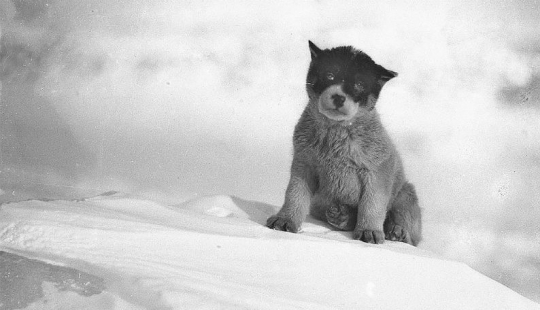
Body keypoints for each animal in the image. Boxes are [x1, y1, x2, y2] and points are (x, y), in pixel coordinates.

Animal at [266, 41, 422, 246]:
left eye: (359, 85)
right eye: (330, 75)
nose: (339, 97)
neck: (336, 133)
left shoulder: (377, 171)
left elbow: (372, 204)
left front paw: (369, 231)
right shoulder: (303, 165)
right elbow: (294, 195)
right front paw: (284, 220)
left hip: (405, 194)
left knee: (409, 232)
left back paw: (396, 231)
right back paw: (342, 216)